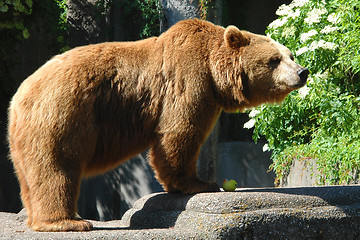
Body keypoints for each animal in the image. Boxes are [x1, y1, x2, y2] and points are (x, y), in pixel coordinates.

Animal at [7, 18, 306, 231]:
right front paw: (199, 183)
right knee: (57, 165)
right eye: (274, 60)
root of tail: (20, 94)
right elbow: (180, 131)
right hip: (63, 112)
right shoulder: (189, 79)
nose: (302, 72)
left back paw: (36, 217)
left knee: (29, 175)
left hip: (25, 135)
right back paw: (67, 221)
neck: (215, 72)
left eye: (290, 54)